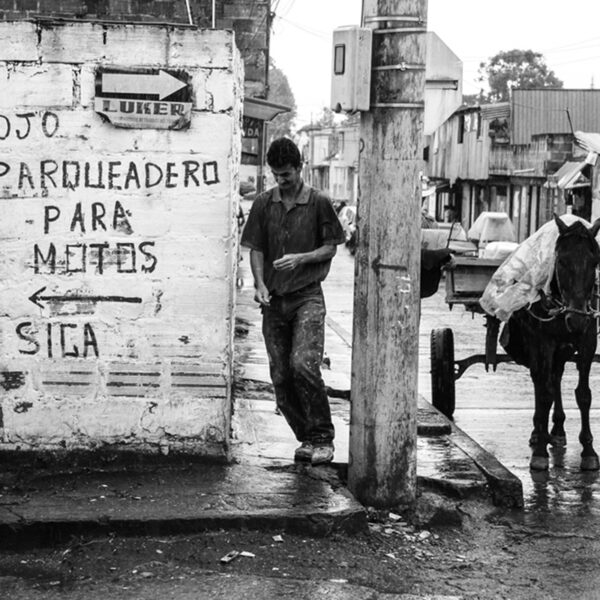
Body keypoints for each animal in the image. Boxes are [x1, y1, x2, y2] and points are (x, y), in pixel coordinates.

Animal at [500, 215, 600, 471]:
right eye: (561, 261)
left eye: (594, 261)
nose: (577, 318)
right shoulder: (543, 342)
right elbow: (544, 393)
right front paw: (539, 452)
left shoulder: (587, 341)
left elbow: (584, 394)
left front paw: (588, 451)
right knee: (540, 380)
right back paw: (539, 432)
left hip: (561, 350)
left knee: (555, 377)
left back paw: (557, 428)